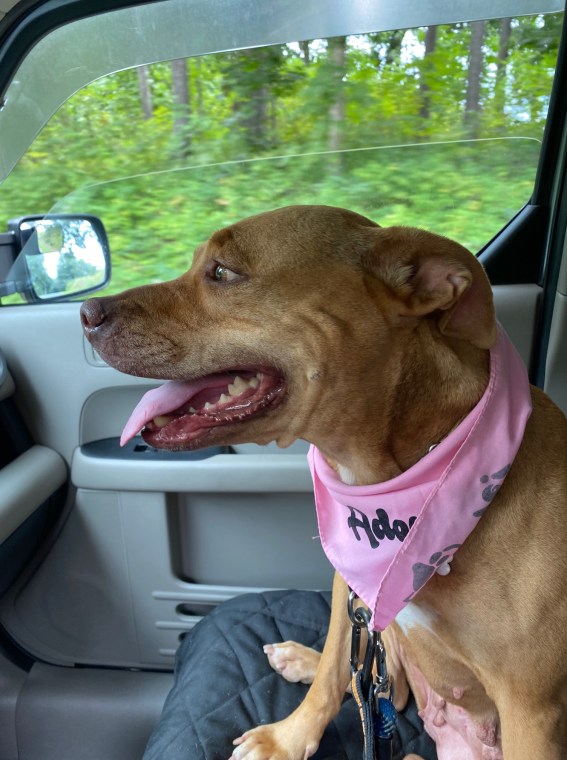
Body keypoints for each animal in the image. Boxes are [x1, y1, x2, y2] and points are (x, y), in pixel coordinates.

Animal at [81, 205, 567, 759]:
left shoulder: (533, 711)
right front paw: (287, 738)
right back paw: (301, 658)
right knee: (373, 679)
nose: (86, 313)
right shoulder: (349, 584)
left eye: (222, 271)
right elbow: (335, 669)